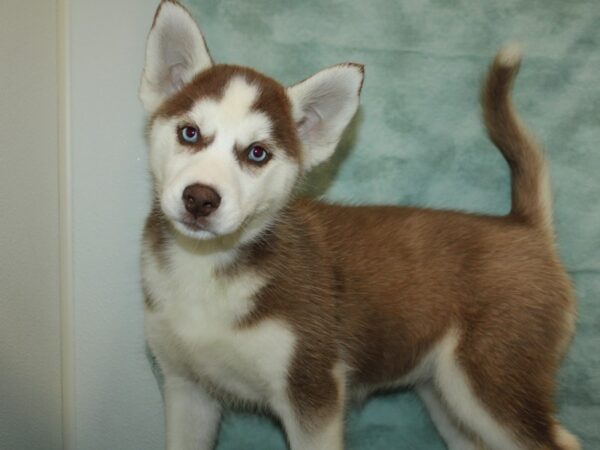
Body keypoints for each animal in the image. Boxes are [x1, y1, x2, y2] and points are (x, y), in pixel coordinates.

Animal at [138, 1, 580, 448]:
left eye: (257, 153)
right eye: (189, 133)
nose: (200, 199)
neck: (206, 266)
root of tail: (524, 225)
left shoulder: (313, 392)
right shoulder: (186, 389)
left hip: (490, 384)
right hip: (448, 396)